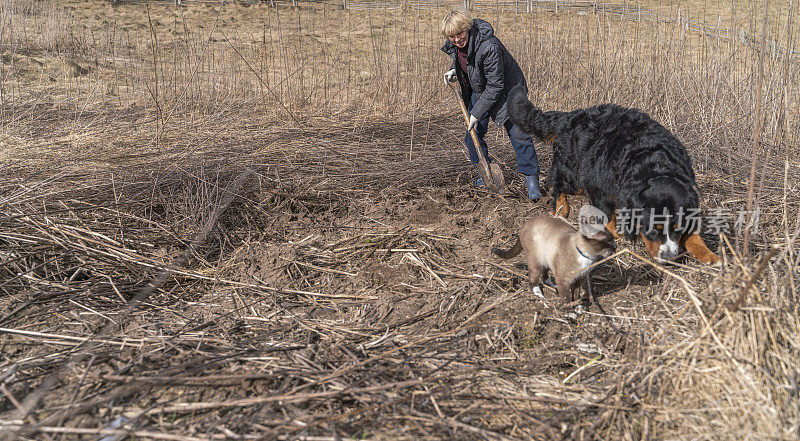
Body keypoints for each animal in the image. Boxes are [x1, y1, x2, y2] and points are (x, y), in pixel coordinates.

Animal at [510, 85, 720, 264]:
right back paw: (561, 209)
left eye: (676, 228)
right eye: (652, 229)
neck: (654, 167)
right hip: (573, 175)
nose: (668, 257)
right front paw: (618, 235)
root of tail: (569, 116)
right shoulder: (598, 186)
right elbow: (607, 214)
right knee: (559, 185)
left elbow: (694, 234)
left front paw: (709, 254)